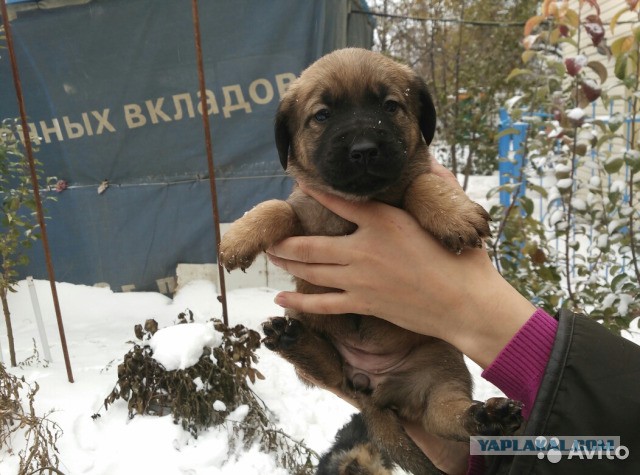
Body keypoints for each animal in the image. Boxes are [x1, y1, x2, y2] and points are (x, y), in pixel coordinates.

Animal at [218, 46, 524, 474]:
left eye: (390, 106)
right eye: (322, 115)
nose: (363, 149)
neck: (362, 202)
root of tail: (374, 390)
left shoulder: (412, 179)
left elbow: (421, 182)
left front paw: (453, 212)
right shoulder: (306, 218)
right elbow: (278, 206)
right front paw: (240, 236)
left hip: (440, 367)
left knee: (447, 414)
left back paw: (488, 415)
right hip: (320, 338)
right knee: (330, 370)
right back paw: (293, 340)